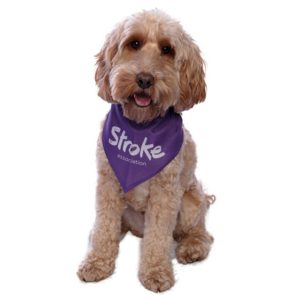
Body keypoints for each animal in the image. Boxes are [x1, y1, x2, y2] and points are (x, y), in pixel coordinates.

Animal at [77, 9, 213, 292]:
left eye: (167, 49)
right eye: (134, 43)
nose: (144, 79)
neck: (140, 127)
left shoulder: (166, 193)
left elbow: (159, 237)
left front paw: (156, 273)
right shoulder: (108, 184)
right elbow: (104, 226)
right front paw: (97, 262)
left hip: (191, 200)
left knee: (200, 232)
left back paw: (192, 248)